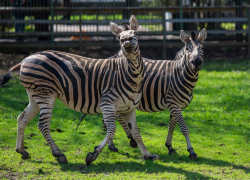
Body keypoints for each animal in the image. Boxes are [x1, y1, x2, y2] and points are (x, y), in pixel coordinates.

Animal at [0, 15, 158, 166]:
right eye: (120, 38)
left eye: (135, 33)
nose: (126, 45)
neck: (131, 76)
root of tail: (25, 59)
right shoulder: (107, 104)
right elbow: (112, 130)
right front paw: (93, 155)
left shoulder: (130, 109)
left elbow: (136, 132)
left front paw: (147, 155)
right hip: (45, 94)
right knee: (43, 125)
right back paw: (59, 155)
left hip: (34, 96)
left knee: (22, 118)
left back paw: (21, 150)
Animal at [78, 27, 207, 158]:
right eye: (187, 49)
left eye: (202, 48)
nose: (196, 62)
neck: (179, 75)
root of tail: (110, 58)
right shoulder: (173, 103)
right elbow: (184, 128)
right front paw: (191, 150)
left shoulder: (177, 106)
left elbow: (171, 126)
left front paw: (169, 147)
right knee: (113, 119)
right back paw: (116, 144)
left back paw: (123, 141)